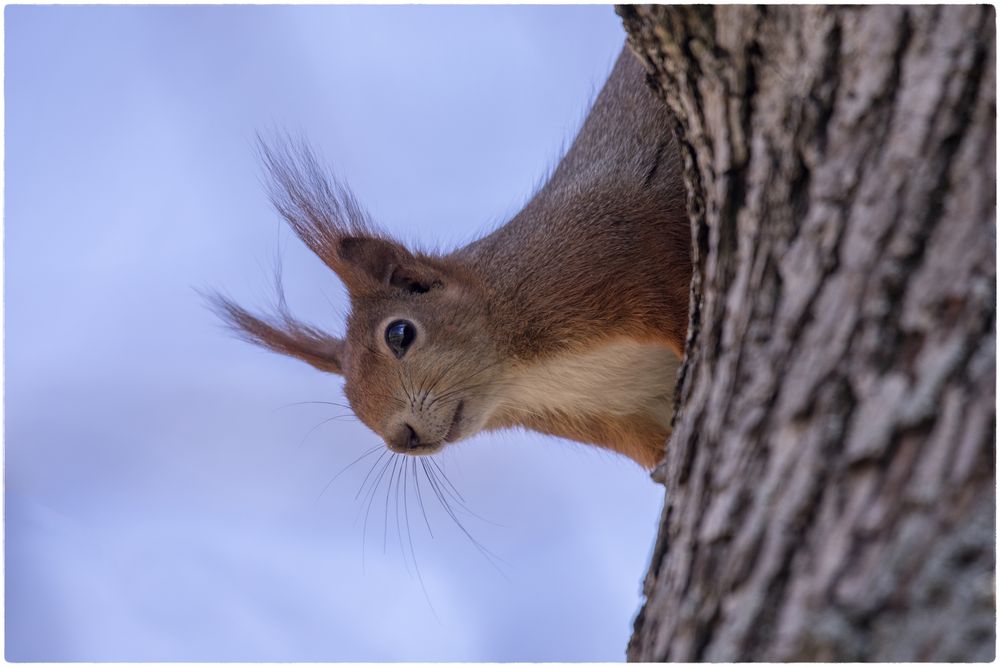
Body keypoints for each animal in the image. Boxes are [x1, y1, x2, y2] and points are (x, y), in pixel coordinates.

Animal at [215, 45, 692, 470]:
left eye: (400, 334)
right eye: (348, 399)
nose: (401, 438)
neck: (528, 378)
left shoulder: (619, 254)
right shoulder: (624, 420)